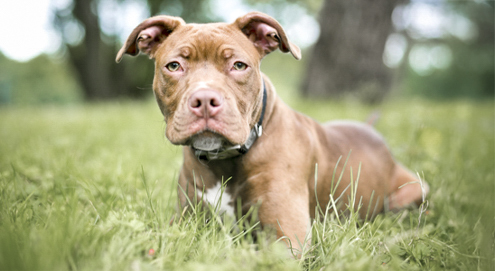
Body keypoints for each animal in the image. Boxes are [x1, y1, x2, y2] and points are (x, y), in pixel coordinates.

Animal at [117, 12, 430, 255]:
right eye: (174, 66)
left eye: (238, 65)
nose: (205, 100)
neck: (225, 160)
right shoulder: (183, 222)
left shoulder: (286, 238)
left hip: (413, 192)